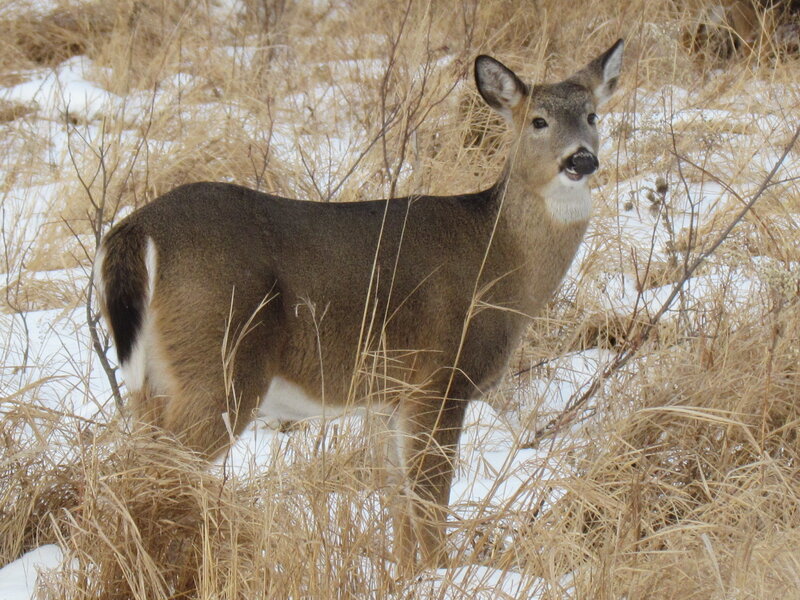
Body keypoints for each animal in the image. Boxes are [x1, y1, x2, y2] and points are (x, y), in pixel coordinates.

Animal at [94, 38, 624, 571]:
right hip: (220, 362)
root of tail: (138, 229)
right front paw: (439, 572)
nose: (581, 160)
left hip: (153, 383)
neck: (499, 257)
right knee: (158, 473)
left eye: (593, 116)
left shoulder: (388, 395)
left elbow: (398, 503)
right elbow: (429, 502)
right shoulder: (441, 379)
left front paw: (407, 575)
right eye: (538, 120)